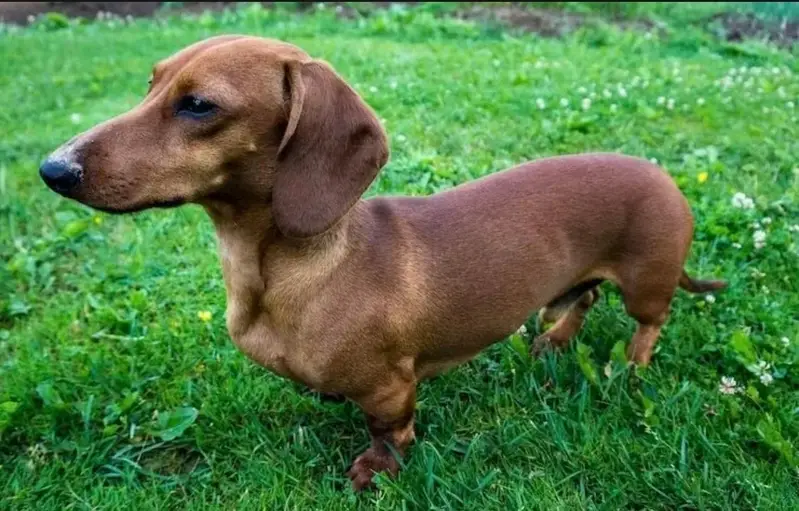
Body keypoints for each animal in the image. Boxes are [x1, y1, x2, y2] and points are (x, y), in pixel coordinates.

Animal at [39, 35, 726, 490]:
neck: (292, 271)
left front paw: (375, 469)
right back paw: (554, 340)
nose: (52, 169)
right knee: (581, 296)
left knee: (648, 322)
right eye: (151, 84)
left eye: (200, 105)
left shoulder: (391, 387)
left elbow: (388, 430)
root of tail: (667, 180)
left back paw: (629, 367)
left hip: (646, 283)